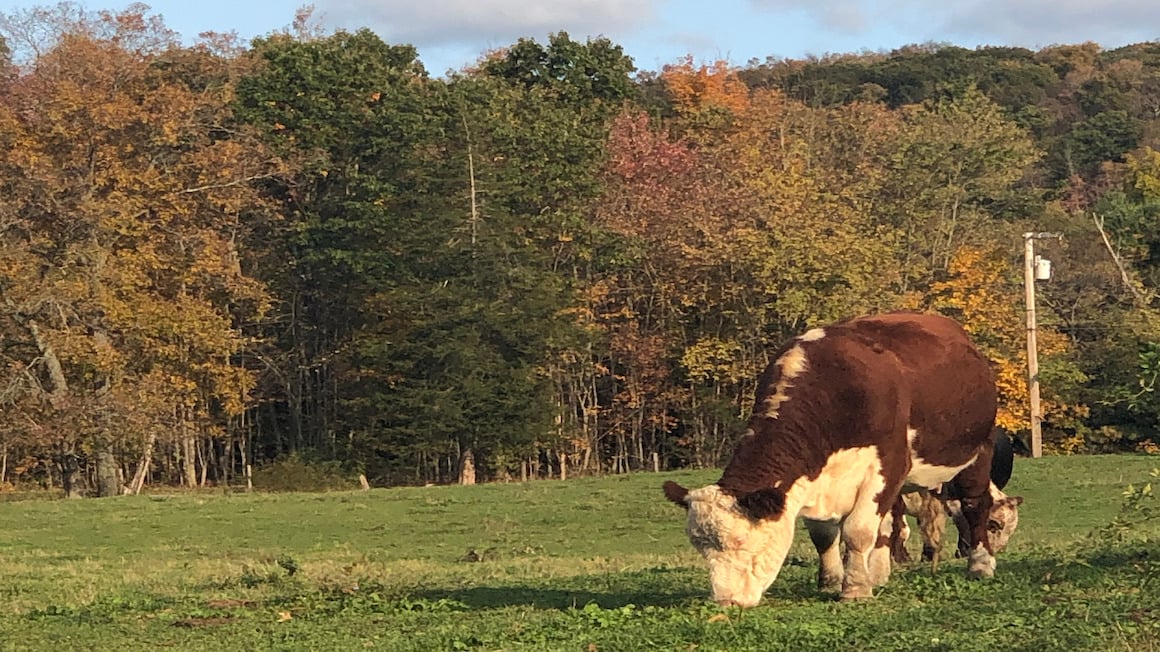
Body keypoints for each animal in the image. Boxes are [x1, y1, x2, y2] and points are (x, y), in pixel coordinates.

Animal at [663, 308, 997, 603]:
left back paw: (980, 565)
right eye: (700, 547)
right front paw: (831, 582)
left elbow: (857, 530)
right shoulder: (812, 478)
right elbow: (824, 535)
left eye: (741, 541)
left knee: (975, 505)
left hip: (978, 452)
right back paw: (879, 573)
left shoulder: (888, 464)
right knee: (890, 521)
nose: (724, 601)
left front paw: (855, 589)